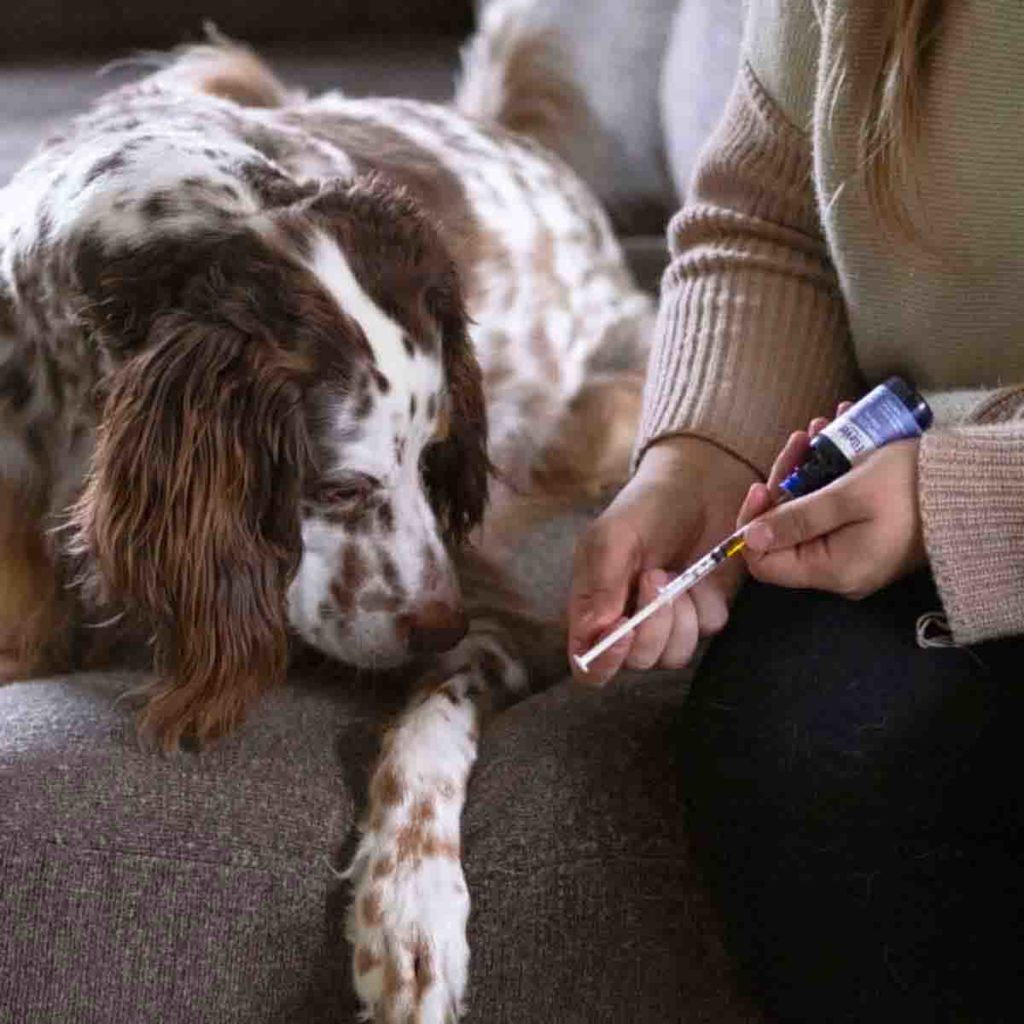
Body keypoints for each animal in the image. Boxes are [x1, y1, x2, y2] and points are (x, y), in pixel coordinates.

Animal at [0, 4, 655, 1019]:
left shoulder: (510, 617)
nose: (438, 623)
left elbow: (430, 723)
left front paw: (412, 911)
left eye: (439, 460)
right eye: (341, 488)